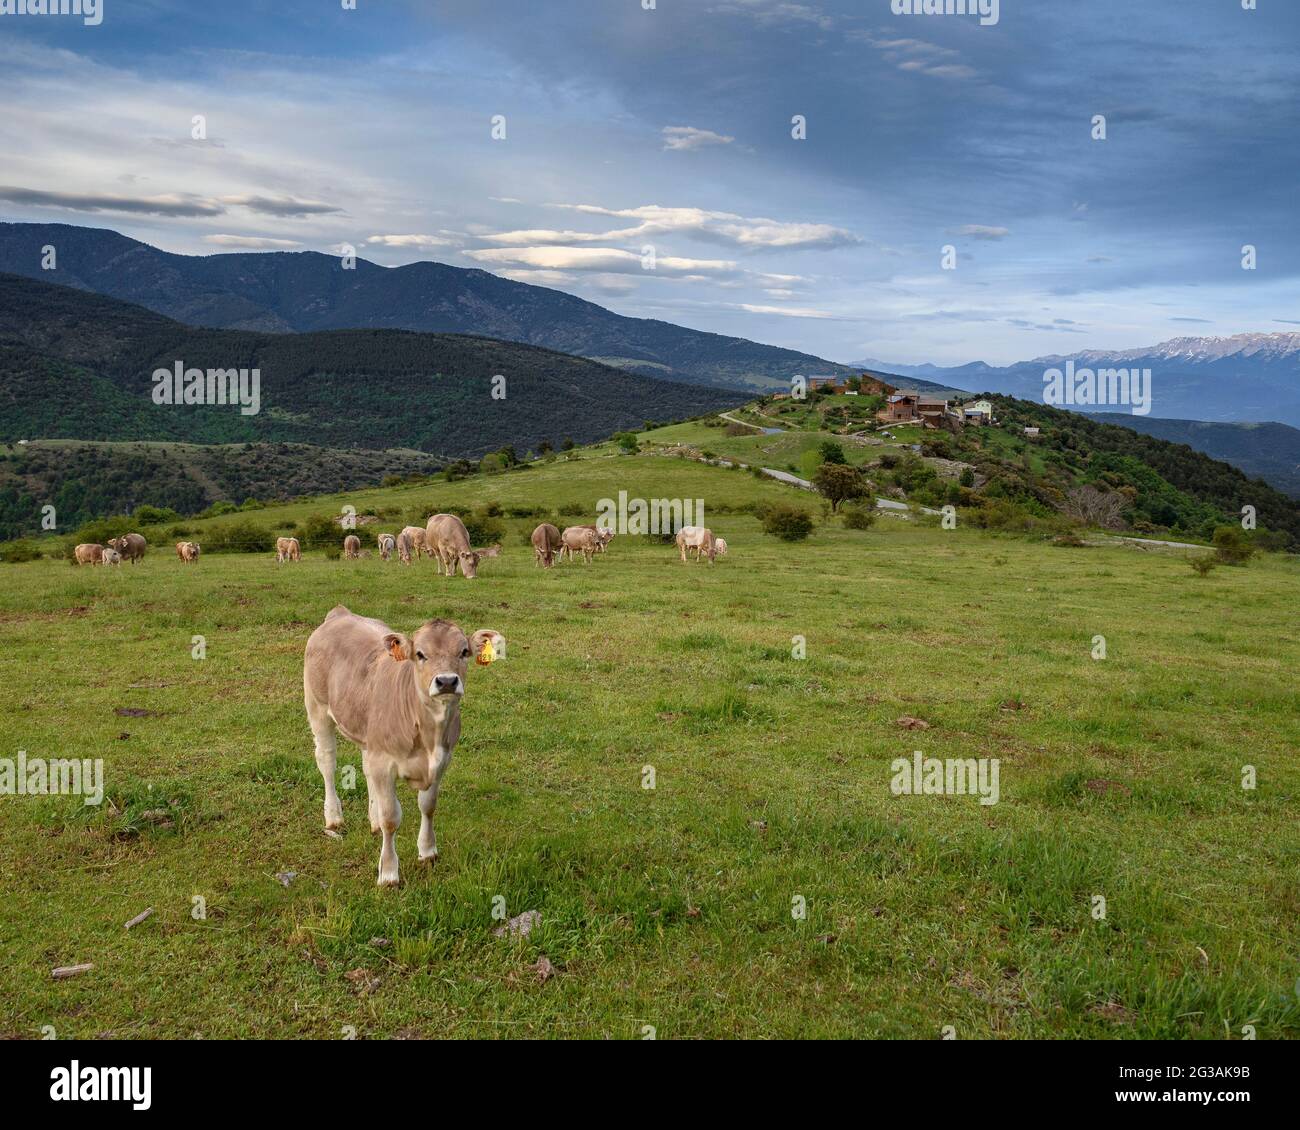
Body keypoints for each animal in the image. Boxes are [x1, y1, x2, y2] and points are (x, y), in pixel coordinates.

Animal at [303, 605, 505, 887]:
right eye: (420, 654)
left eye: (464, 651)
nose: (446, 681)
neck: (429, 734)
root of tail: (340, 613)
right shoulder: (384, 762)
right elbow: (391, 818)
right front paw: (388, 873)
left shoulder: (442, 760)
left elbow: (428, 806)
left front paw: (428, 851)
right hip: (317, 707)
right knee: (327, 761)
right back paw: (333, 817)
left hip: (368, 735)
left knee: (365, 768)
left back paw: (372, 819)